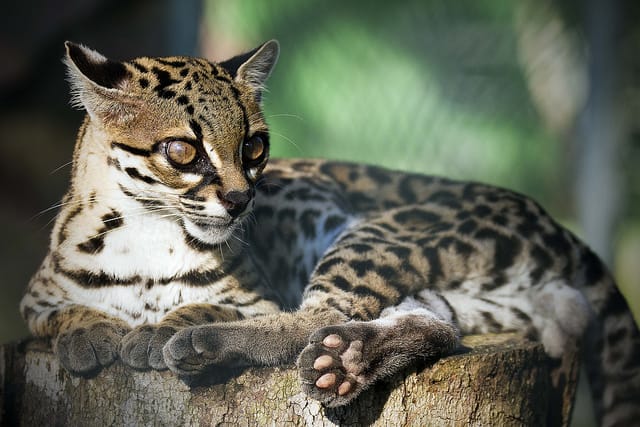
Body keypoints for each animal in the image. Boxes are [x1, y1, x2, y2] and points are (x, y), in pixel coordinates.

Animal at [20, 39, 640, 424]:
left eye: (254, 146)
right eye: (183, 151)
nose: (242, 200)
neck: (149, 235)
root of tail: (550, 220)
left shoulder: (260, 296)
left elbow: (216, 304)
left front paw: (161, 329)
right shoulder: (36, 297)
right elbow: (60, 314)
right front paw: (88, 333)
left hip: (381, 231)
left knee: (320, 314)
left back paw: (208, 346)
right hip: (481, 294)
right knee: (435, 324)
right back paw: (348, 360)